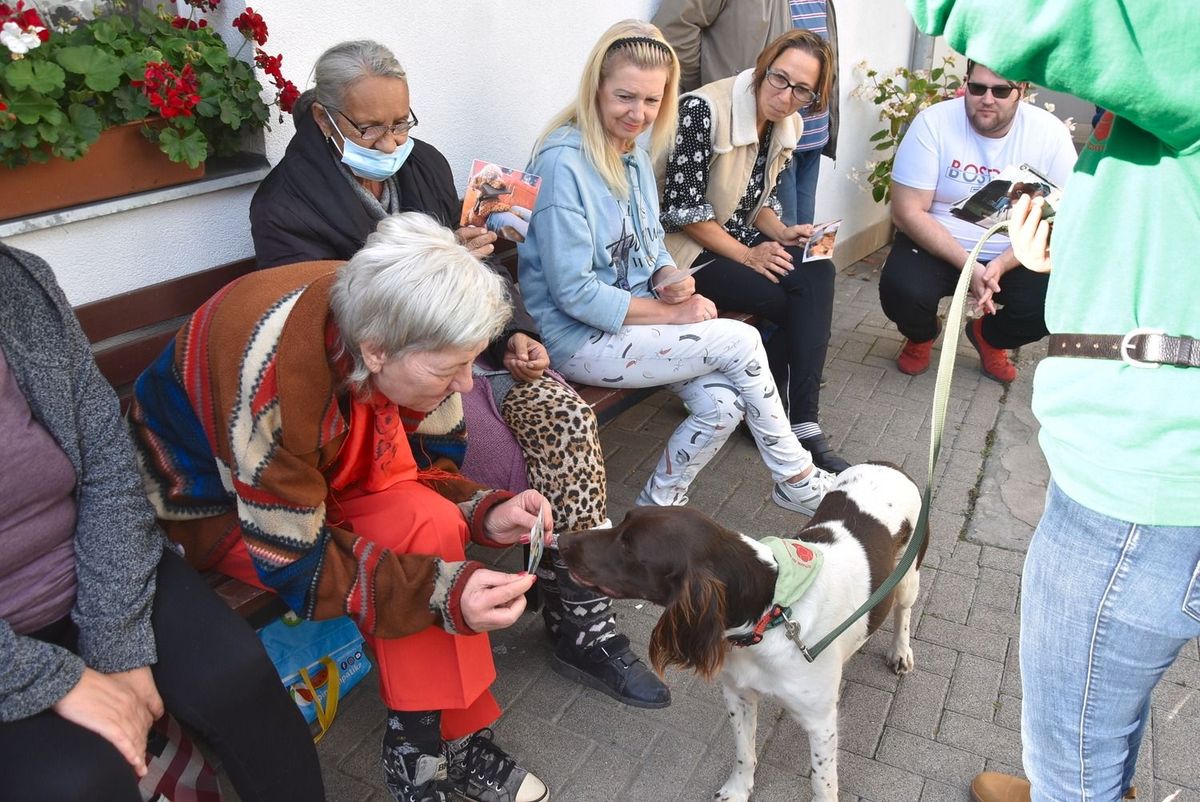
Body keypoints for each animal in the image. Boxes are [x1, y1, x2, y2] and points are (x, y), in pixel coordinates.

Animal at [556, 463, 921, 802]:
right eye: (622, 523)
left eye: (629, 548)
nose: (561, 540)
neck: (772, 613)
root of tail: (889, 465)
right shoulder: (738, 694)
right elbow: (744, 754)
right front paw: (736, 791)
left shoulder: (820, 722)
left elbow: (822, 781)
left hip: (909, 577)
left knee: (903, 612)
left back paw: (900, 653)